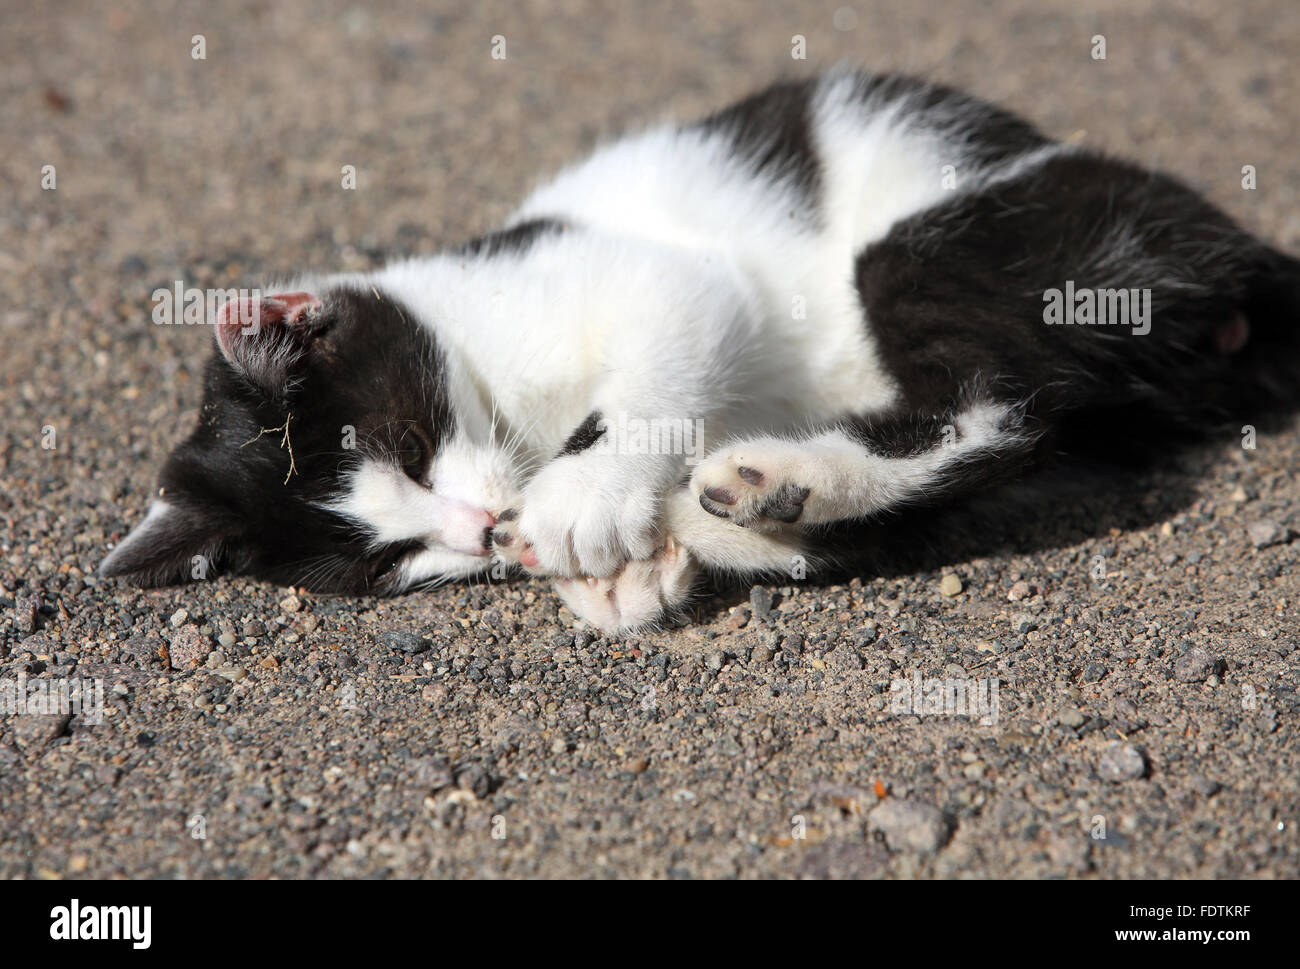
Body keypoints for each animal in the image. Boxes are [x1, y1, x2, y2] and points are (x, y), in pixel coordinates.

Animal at [101, 66, 1300, 626]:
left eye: (407, 442)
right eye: (390, 560)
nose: (480, 529)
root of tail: (1238, 263)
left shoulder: (662, 278)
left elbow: (663, 349)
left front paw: (586, 502)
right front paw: (622, 581)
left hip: (953, 241)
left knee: (1002, 410)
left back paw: (774, 479)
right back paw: (738, 508)